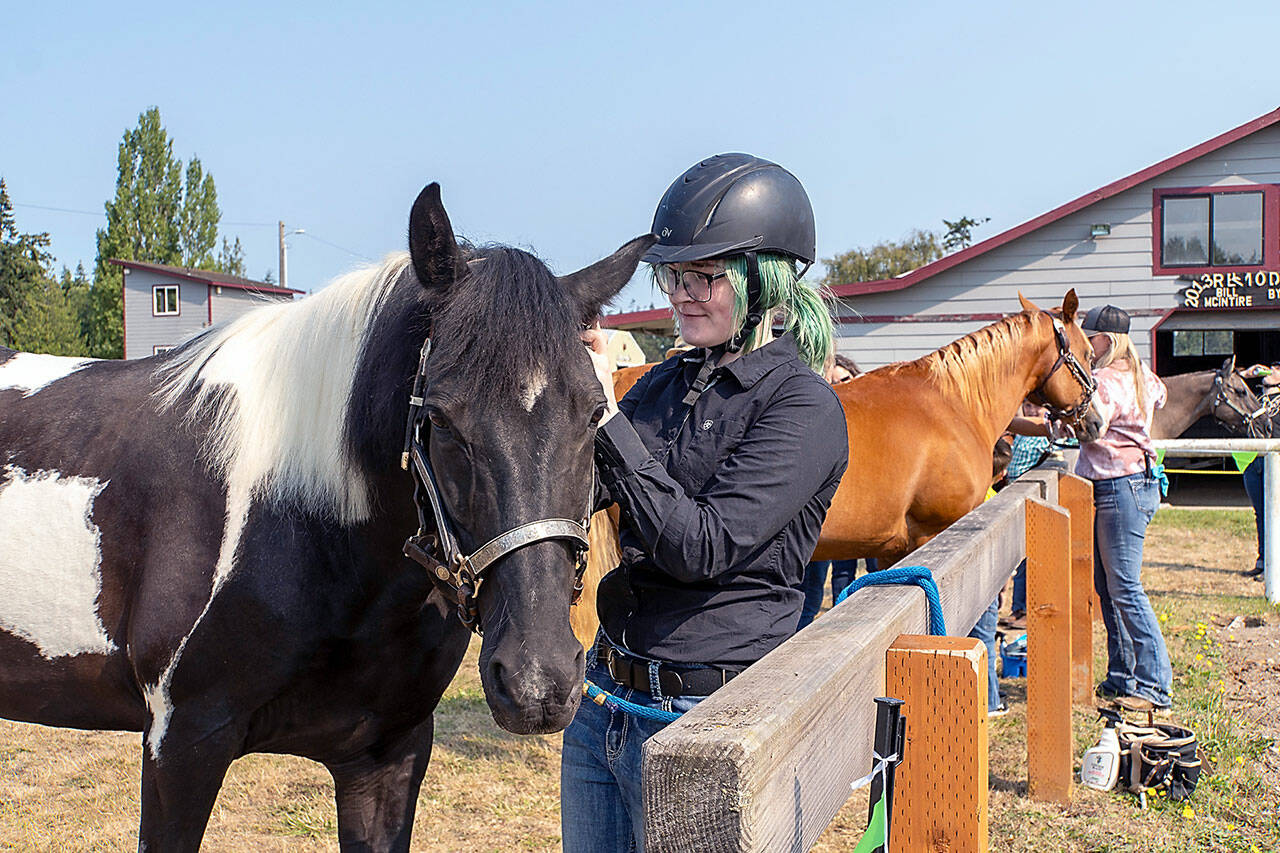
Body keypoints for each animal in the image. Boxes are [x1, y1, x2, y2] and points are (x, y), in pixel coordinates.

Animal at [0, 182, 653, 852]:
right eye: (439, 419)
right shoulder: (180, 748)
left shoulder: (387, 757)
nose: (537, 682)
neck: (302, 529)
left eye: (595, 413)